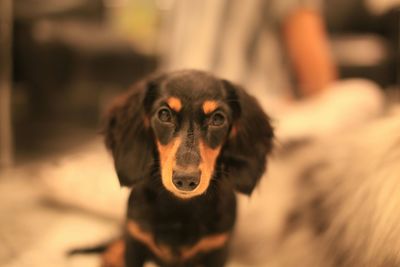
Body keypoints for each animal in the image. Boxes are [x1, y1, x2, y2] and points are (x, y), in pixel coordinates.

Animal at [101, 70, 274, 266]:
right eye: (164, 115)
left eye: (218, 119)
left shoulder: (217, 249)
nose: (185, 180)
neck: (181, 208)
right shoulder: (135, 241)